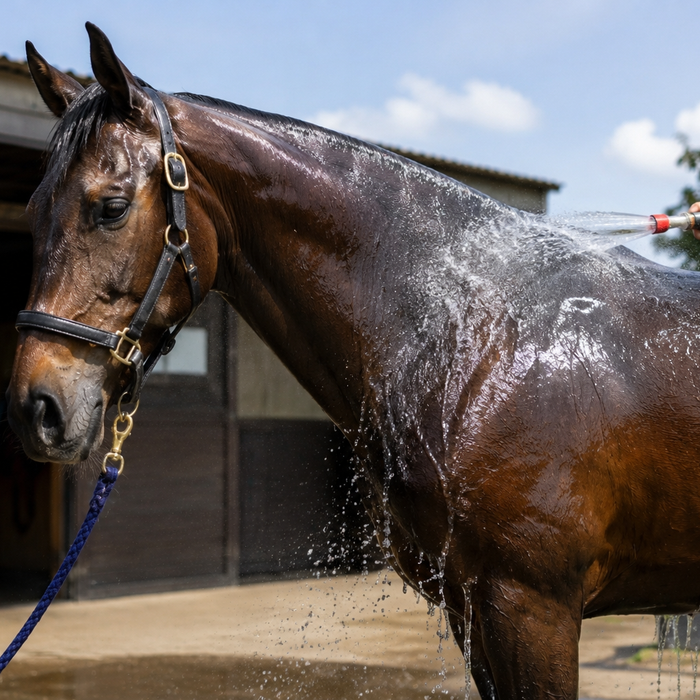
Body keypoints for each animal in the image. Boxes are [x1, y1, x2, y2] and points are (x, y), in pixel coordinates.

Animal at [8, 23, 700, 699]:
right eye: (34, 211)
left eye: (111, 206)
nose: (34, 408)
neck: (478, 337)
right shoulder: (473, 611)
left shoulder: (534, 610)